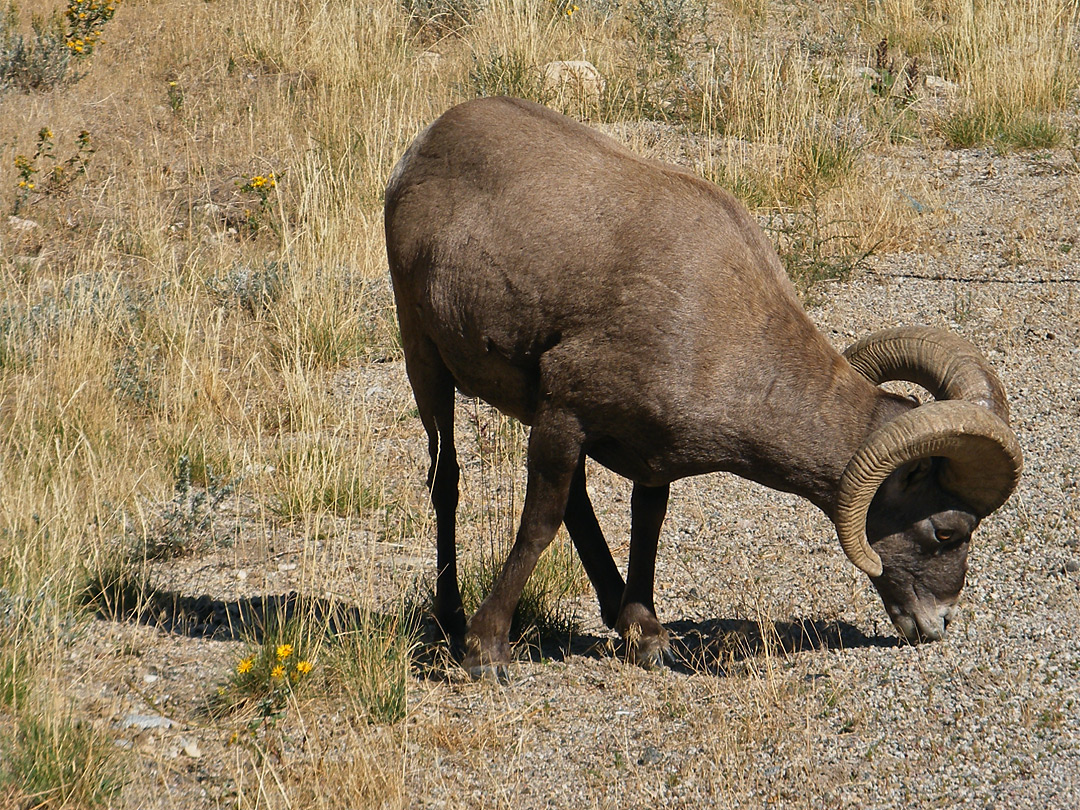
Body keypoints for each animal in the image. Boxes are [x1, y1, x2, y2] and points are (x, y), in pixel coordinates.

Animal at [384, 95, 1023, 682]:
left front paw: (646, 637)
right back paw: (450, 618)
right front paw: (485, 651)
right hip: (425, 361)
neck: (719, 327)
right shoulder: (566, 412)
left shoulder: (641, 454)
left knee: (576, 504)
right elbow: (540, 525)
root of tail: (427, 142)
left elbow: (645, 525)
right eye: (947, 530)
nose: (937, 624)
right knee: (446, 481)